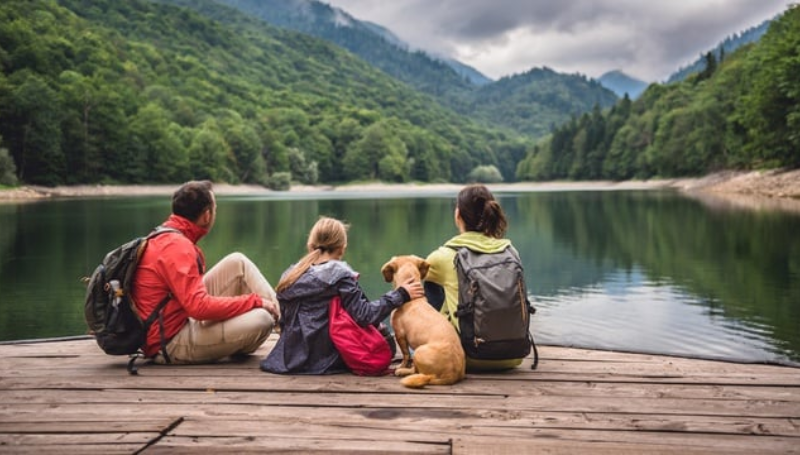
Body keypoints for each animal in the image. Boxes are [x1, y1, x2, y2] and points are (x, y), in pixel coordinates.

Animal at [380, 256, 466, 388]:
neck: (413, 299)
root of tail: (450, 375)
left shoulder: (400, 335)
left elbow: (405, 355)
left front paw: (401, 366)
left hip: (418, 352)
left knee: (415, 370)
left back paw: (402, 371)